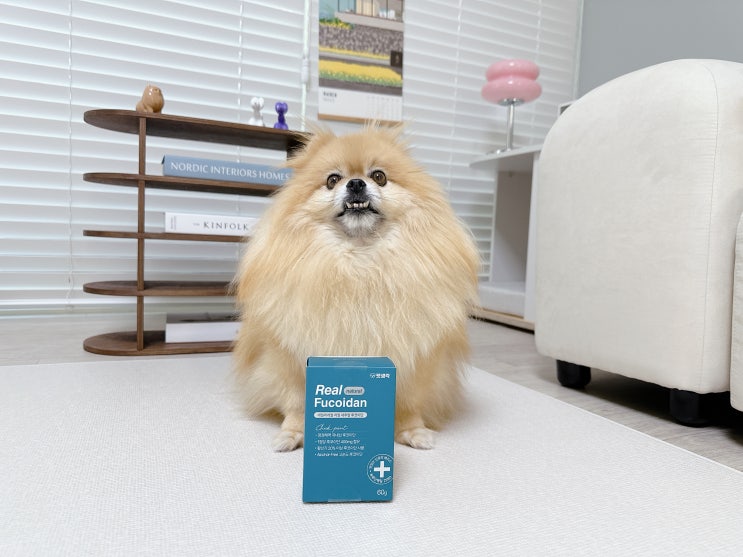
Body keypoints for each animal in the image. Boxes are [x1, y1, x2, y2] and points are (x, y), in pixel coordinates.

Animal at [232, 125, 480, 451]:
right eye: (332, 180)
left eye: (379, 176)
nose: (356, 183)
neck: (360, 262)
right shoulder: (287, 356)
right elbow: (296, 401)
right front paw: (293, 433)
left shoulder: (418, 356)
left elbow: (410, 402)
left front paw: (412, 431)